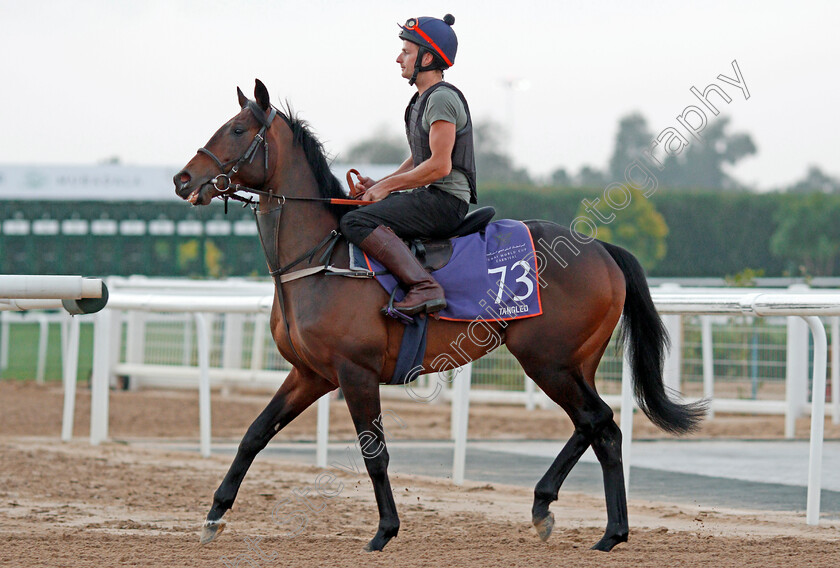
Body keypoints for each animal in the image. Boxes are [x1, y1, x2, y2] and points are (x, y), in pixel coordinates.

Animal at [174, 79, 704, 552]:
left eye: (237, 129)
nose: (183, 180)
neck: (318, 258)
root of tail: (601, 248)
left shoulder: (354, 373)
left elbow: (374, 454)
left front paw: (384, 531)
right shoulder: (310, 374)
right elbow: (253, 435)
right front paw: (214, 515)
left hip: (548, 361)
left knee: (602, 426)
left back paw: (611, 532)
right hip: (571, 363)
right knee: (592, 425)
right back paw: (548, 507)